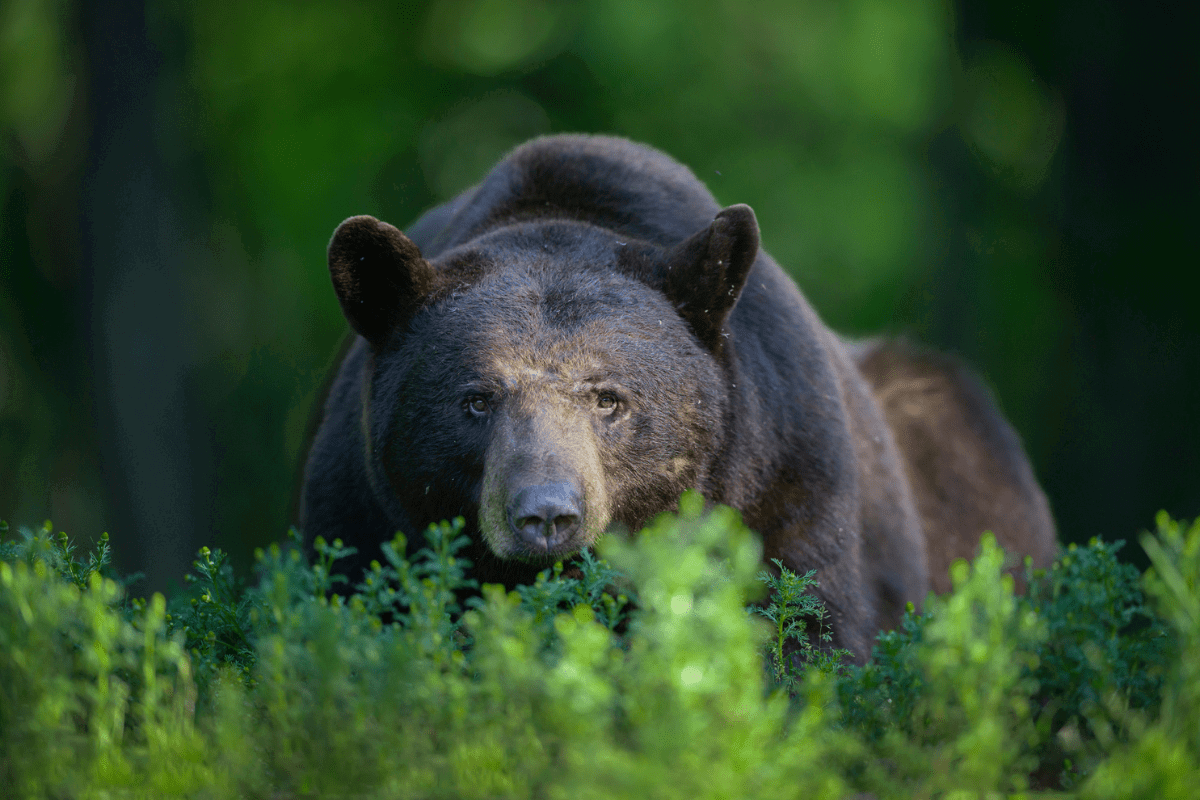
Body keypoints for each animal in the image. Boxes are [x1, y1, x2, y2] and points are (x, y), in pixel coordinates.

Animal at [302, 134, 1060, 662]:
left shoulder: (786, 474)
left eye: (609, 398)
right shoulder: (361, 508)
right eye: (477, 399)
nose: (546, 515)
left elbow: (803, 629)